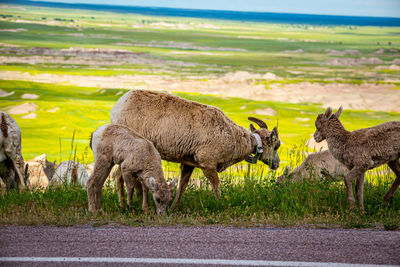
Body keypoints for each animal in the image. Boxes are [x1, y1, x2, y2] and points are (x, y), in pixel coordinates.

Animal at [110, 91, 282, 208]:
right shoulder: (208, 164)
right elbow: (216, 186)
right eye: (277, 145)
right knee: (119, 176)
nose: (277, 164)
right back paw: (123, 205)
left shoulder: (188, 164)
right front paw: (219, 204)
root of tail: (118, 106)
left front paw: (174, 207)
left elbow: (182, 186)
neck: (234, 138)